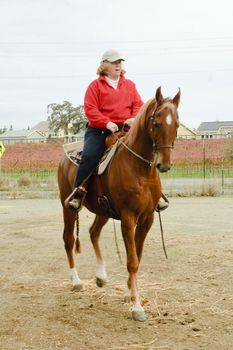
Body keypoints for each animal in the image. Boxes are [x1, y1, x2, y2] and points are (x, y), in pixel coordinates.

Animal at [57, 87, 180, 320]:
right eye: (157, 123)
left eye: (176, 124)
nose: (165, 164)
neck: (140, 169)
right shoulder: (128, 217)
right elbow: (131, 260)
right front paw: (137, 306)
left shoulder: (147, 219)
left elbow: (137, 257)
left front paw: (128, 294)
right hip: (67, 206)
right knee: (69, 239)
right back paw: (76, 281)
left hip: (102, 211)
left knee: (93, 232)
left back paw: (101, 277)